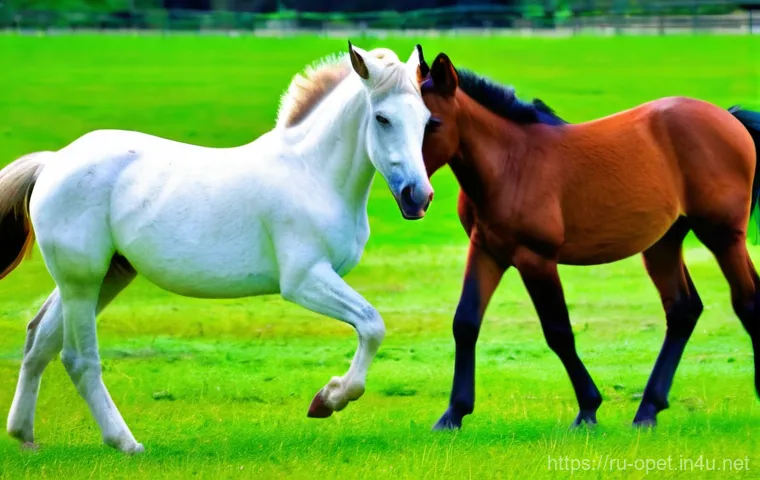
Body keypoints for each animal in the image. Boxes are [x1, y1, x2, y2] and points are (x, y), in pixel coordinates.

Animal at [0, 42, 434, 454]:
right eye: (382, 118)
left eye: (426, 119)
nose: (418, 197)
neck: (312, 174)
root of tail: (53, 163)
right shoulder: (305, 280)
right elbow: (372, 325)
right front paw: (327, 400)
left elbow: (371, 327)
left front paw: (326, 399)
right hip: (82, 281)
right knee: (77, 359)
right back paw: (125, 443)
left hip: (104, 277)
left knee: (39, 340)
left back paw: (24, 436)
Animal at [416, 50, 760, 430]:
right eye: (388, 119)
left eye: (431, 123)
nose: (411, 192)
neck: (510, 163)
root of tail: (729, 118)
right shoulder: (487, 250)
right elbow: (465, 322)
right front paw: (453, 413)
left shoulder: (535, 258)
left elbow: (558, 332)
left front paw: (588, 409)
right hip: (664, 242)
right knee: (683, 309)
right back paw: (648, 410)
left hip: (722, 235)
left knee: (747, 302)